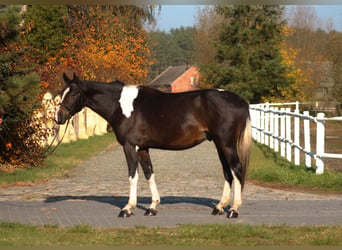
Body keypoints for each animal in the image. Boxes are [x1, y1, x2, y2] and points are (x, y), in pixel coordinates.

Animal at [54, 73, 251, 219]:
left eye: (73, 93)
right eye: (62, 92)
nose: (58, 117)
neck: (122, 105)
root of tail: (241, 101)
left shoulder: (130, 146)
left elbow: (133, 176)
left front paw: (128, 208)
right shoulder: (142, 148)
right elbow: (149, 174)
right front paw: (152, 207)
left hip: (227, 144)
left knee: (236, 169)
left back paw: (234, 210)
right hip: (219, 144)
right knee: (227, 172)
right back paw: (219, 207)